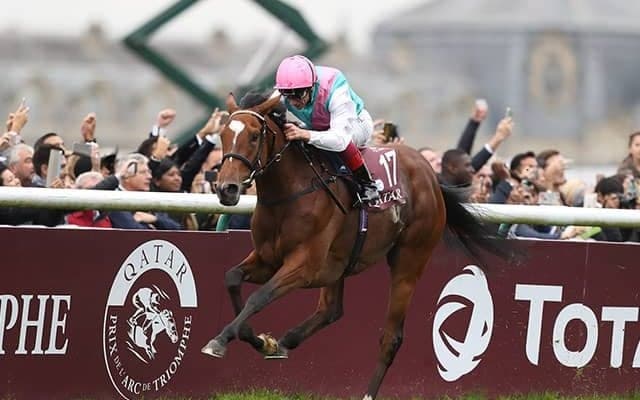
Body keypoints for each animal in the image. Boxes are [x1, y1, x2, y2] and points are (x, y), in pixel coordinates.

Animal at [201, 91, 516, 400]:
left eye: (255, 136)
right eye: (224, 134)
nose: (226, 189)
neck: (290, 194)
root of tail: (431, 177)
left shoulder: (304, 266)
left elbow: (259, 297)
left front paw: (219, 341)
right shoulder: (268, 259)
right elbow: (231, 277)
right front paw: (258, 340)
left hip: (409, 260)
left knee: (391, 336)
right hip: (339, 264)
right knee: (331, 310)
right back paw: (285, 341)